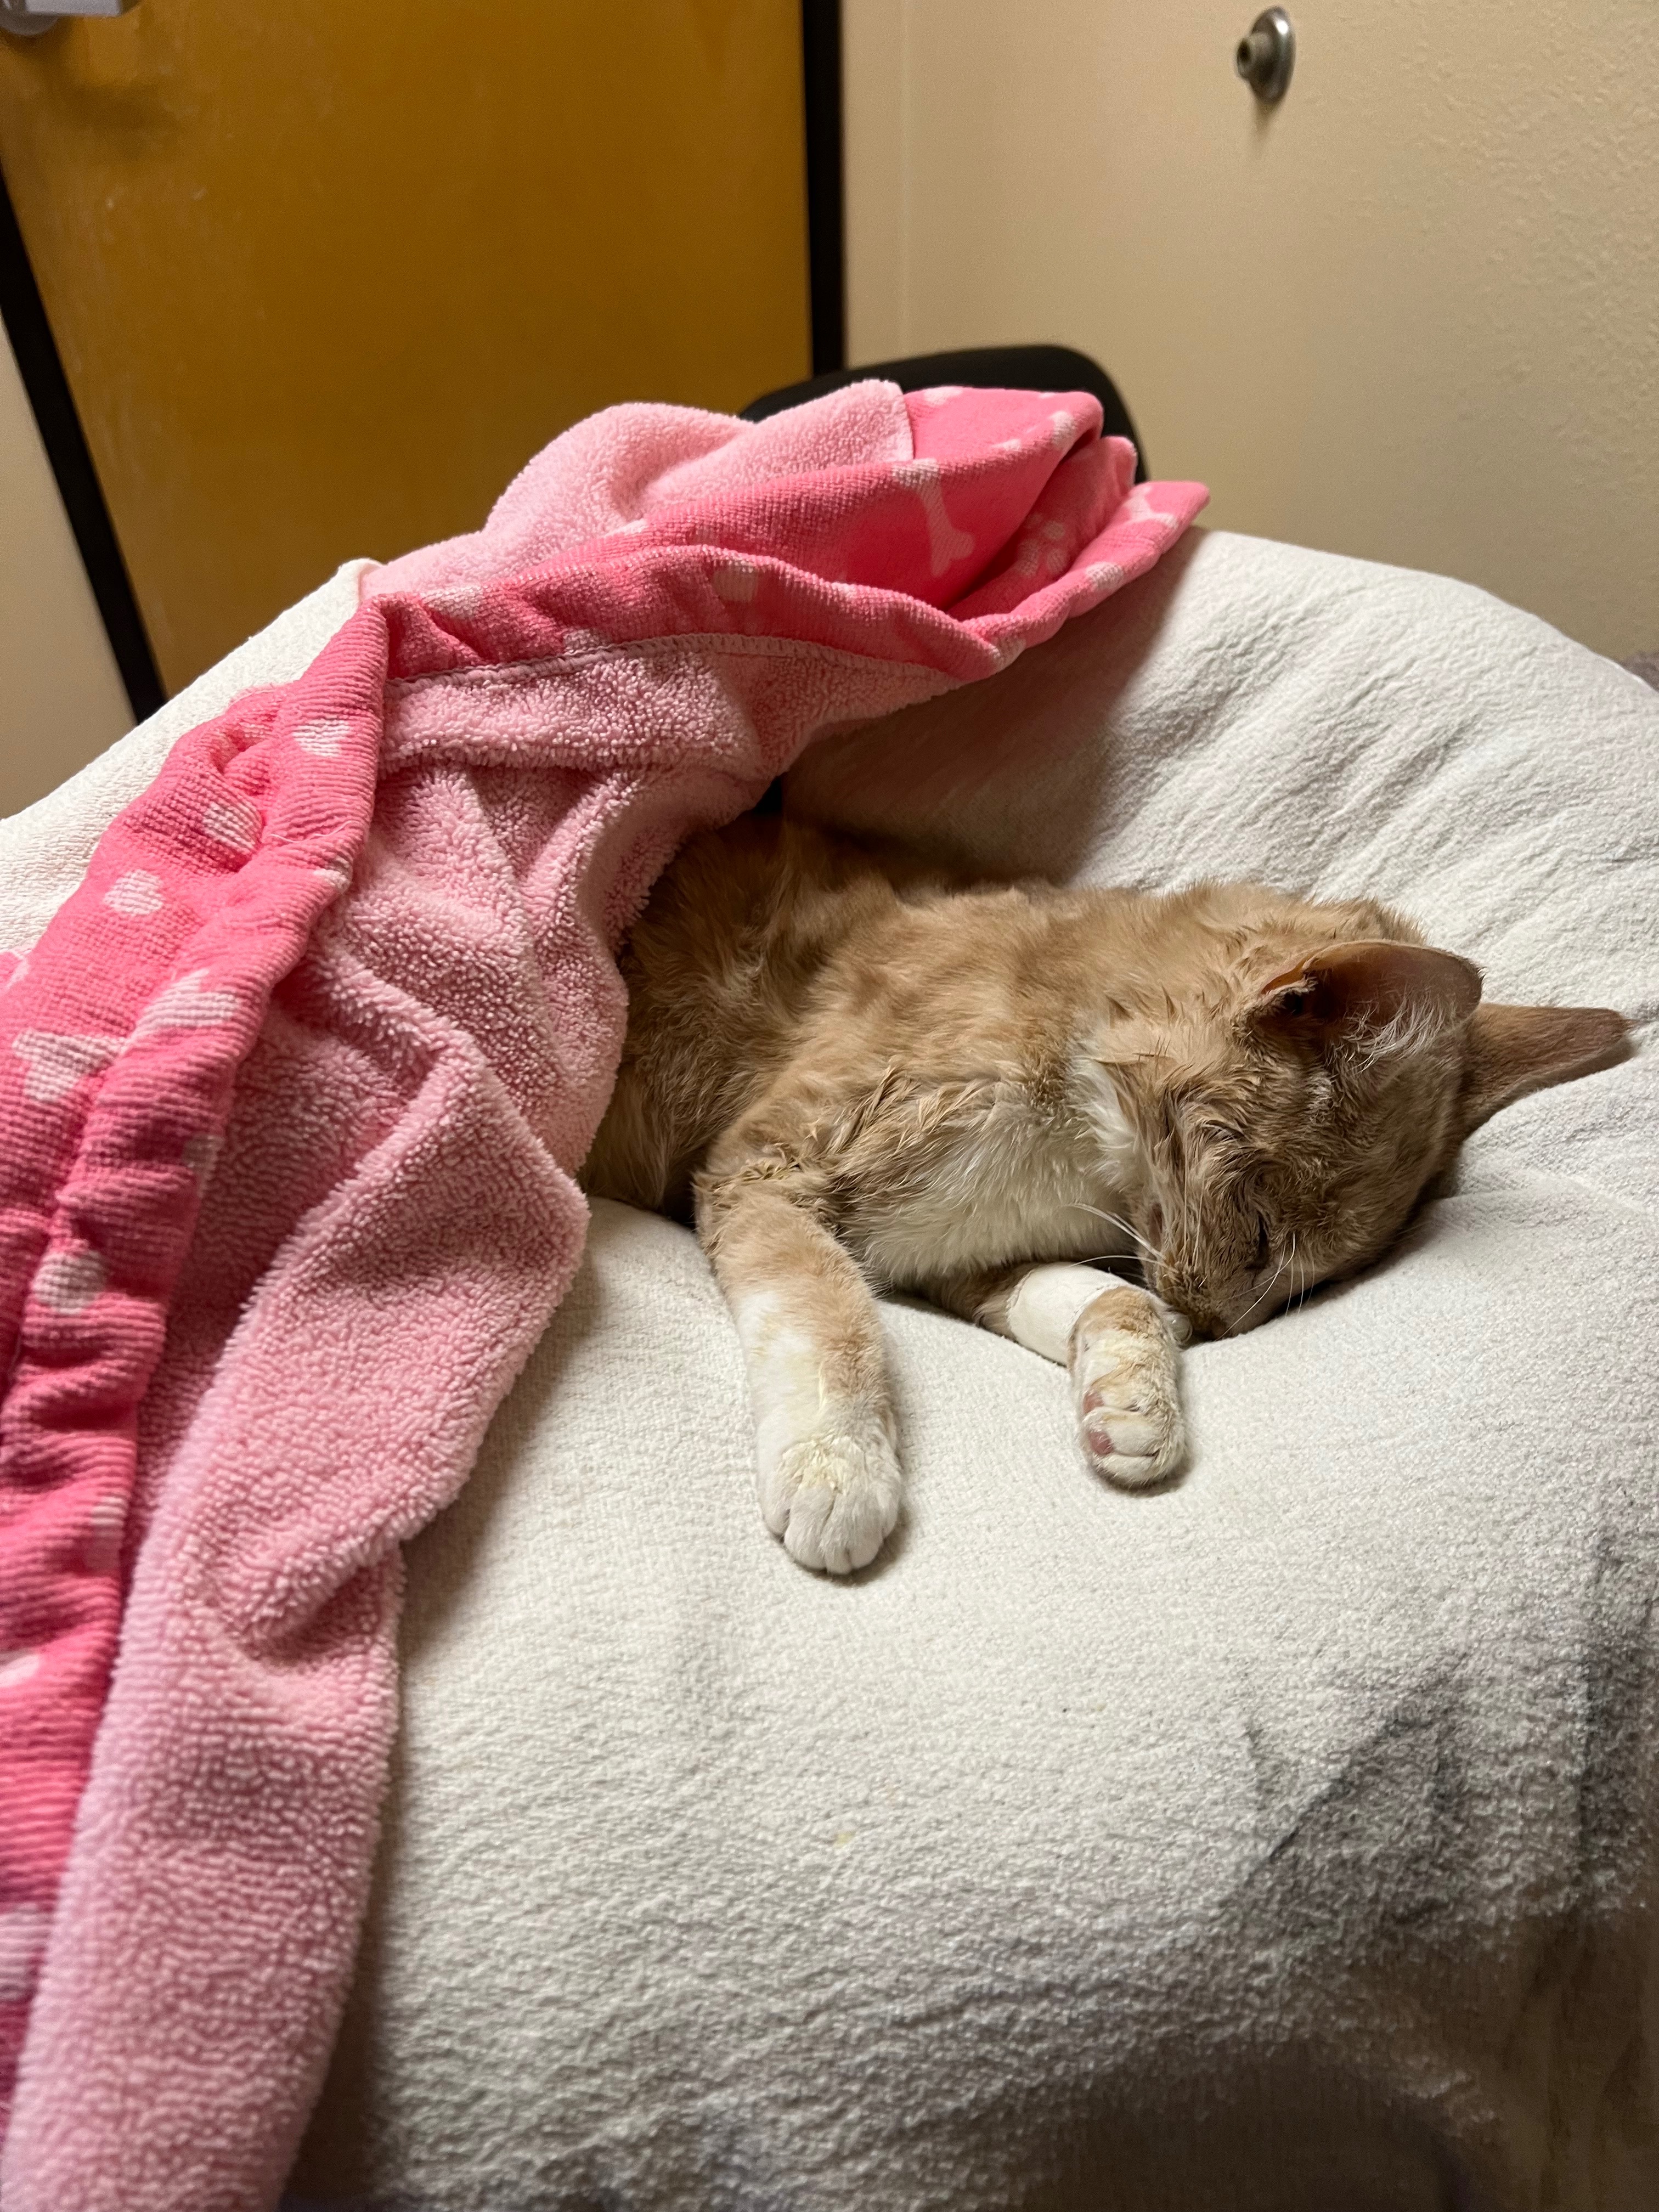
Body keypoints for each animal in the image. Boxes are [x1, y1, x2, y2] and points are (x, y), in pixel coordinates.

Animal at [584, 815, 1629, 1576]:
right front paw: (837, 1466)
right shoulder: (765, 1170)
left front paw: (1133, 1398)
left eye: (1310, 1284)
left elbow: (1110, 1297)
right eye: (1261, 1233)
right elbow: (825, 1310)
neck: (1076, 1144)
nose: (1213, 1327)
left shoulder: (948, 1251)